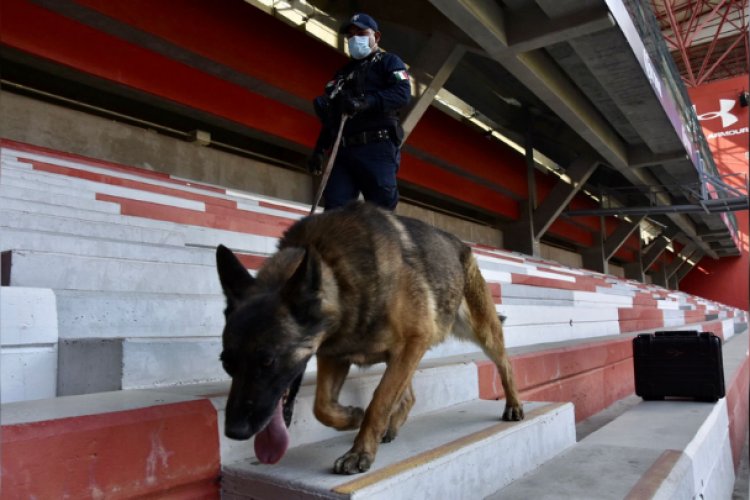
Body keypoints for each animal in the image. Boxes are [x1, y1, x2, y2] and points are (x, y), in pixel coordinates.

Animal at [214, 201, 524, 474]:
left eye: (268, 361)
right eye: (226, 364)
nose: (233, 431)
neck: (336, 273)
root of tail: (461, 244)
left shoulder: (412, 341)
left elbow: (379, 402)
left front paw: (359, 451)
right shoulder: (335, 355)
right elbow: (322, 406)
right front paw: (352, 417)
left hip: (481, 331)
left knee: (505, 365)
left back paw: (514, 404)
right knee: (408, 395)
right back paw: (392, 425)